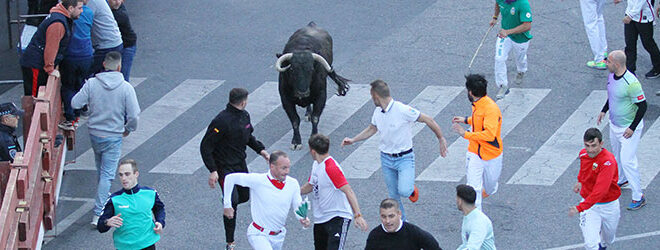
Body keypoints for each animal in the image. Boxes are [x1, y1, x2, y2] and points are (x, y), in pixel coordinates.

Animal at [274, 21, 350, 149]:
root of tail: (312, 24)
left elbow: (315, 118)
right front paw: (296, 141)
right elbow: (295, 120)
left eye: (311, 69)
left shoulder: (321, 96)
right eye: (292, 69)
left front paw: (315, 138)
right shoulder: (285, 99)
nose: (303, 92)